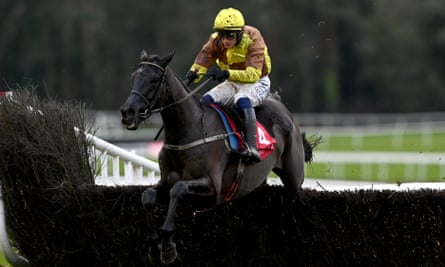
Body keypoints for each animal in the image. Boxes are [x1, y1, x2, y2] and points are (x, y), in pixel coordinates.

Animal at [119, 50, 314, 266]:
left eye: (154, 79)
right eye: (134, 77)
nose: (128, 112)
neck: (189, 130)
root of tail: (282, 107)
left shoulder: (213, 186)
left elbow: (178, 190)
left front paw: (168, 244)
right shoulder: (165, 180)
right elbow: (148, 196)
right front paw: (153, 243)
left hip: (293, 175)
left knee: (294, 192)